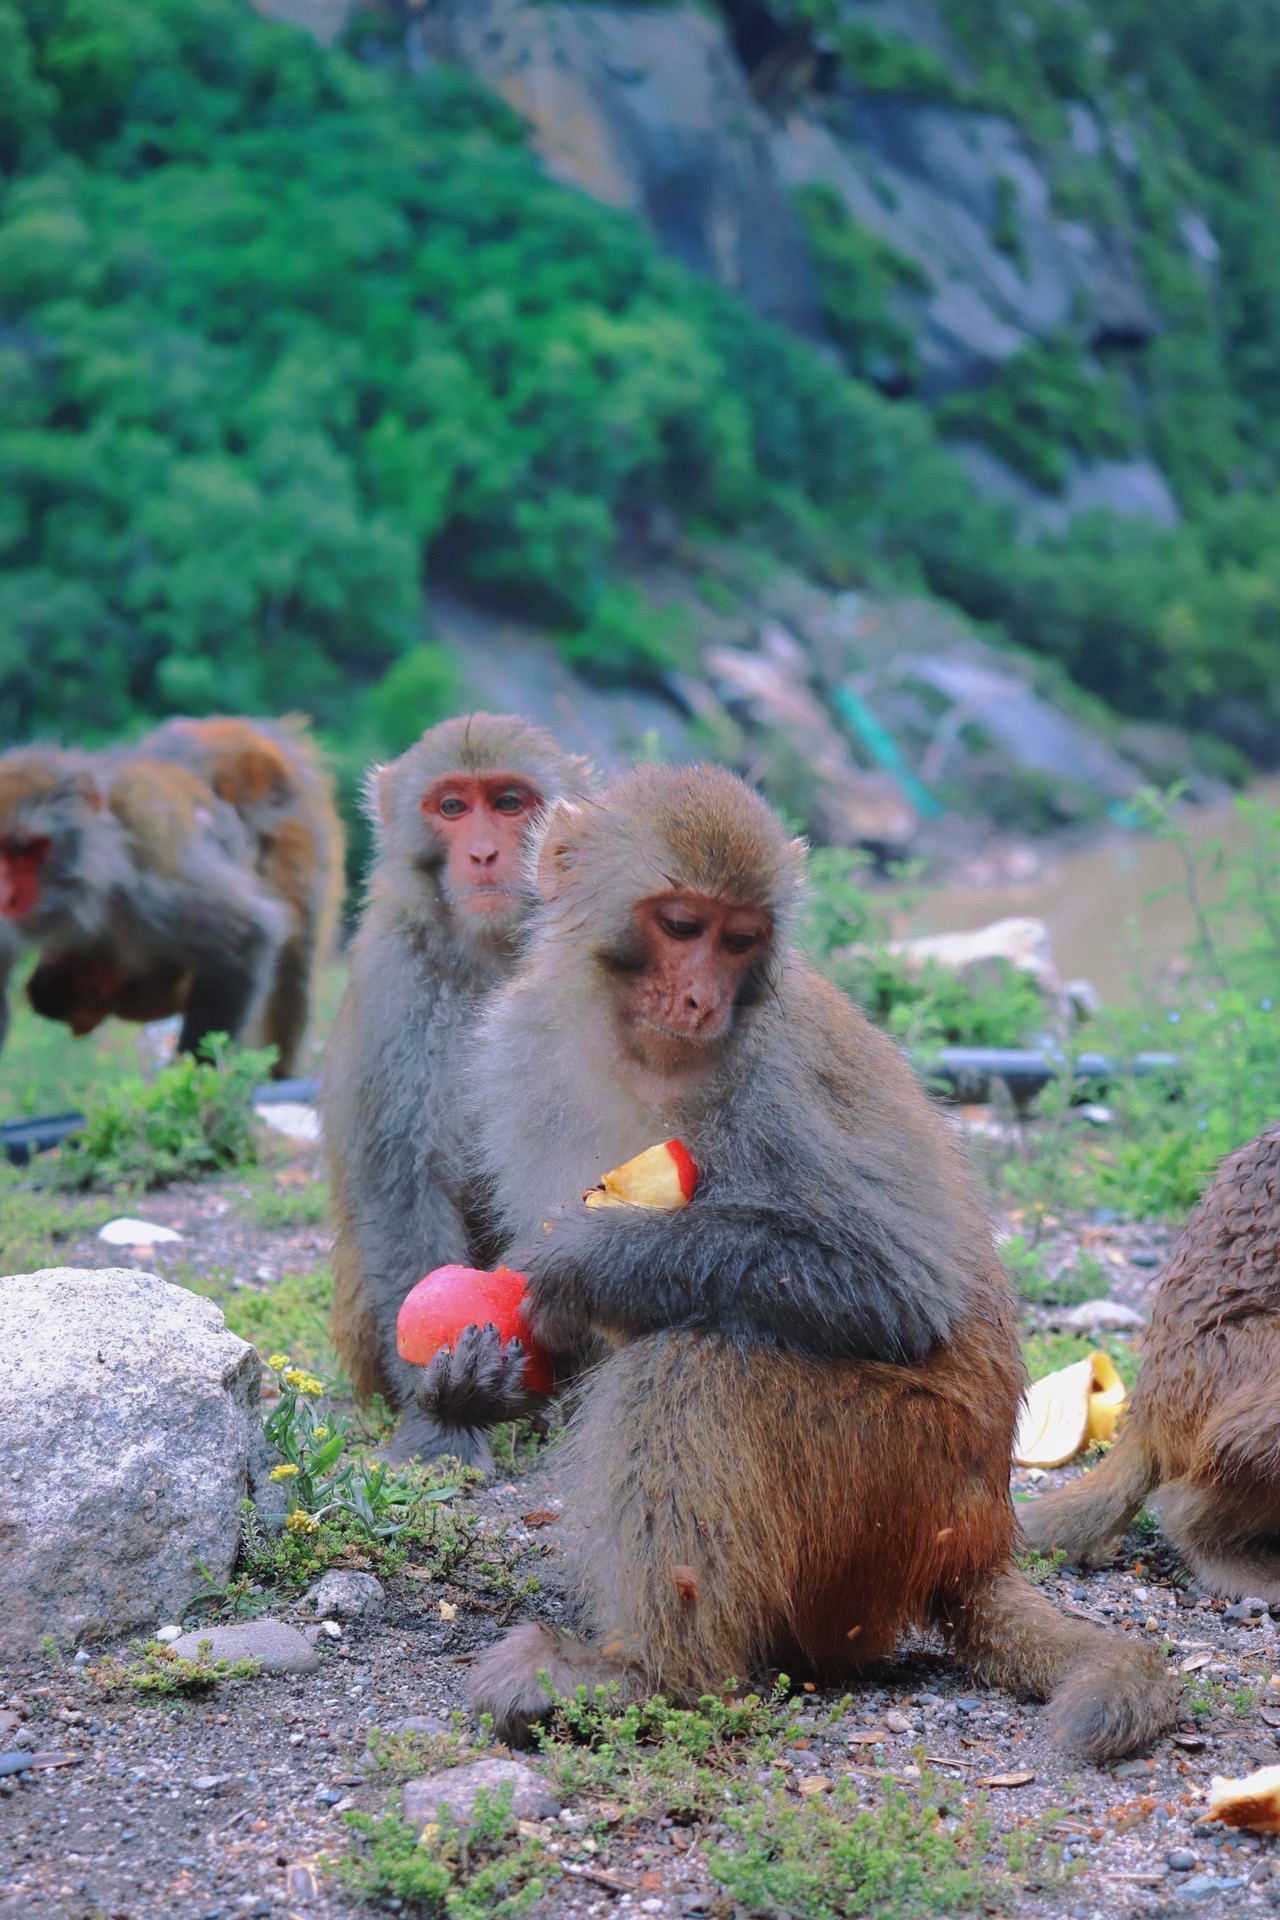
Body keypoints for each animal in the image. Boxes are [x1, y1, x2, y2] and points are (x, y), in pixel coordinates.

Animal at [0, 721, 343, 1082]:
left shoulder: (150, 889)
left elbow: (246, 939)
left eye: (24, 848)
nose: (6, 897)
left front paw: (195, 1082)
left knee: (291, 973)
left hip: (299, 834)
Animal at [408, 756, 1182, 1758]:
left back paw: (651, 1673)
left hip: (893, 1482)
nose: (700, 999)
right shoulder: (517, 1054)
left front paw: (587, 1262)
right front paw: (480, 1382)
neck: (637, 1049)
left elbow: (893, 1286)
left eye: (741, 940)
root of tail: (981, 1535)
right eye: (682, 926)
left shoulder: (780, 1078)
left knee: (694, 1368)